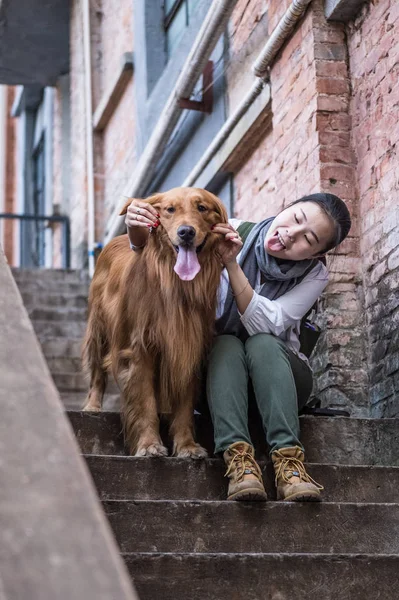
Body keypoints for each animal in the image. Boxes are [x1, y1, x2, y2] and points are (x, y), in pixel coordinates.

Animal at [81, 188, 228, 460]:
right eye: (169, 209)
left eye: (202, 208)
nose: (186, 232)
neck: (176, 283)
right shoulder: (140, 350)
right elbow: (145, 403)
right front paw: (149, 445)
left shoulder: (188, 347)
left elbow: (184, 407)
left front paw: (187, 446)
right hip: (99, 328)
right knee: (97, 372)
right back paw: (92, 406)